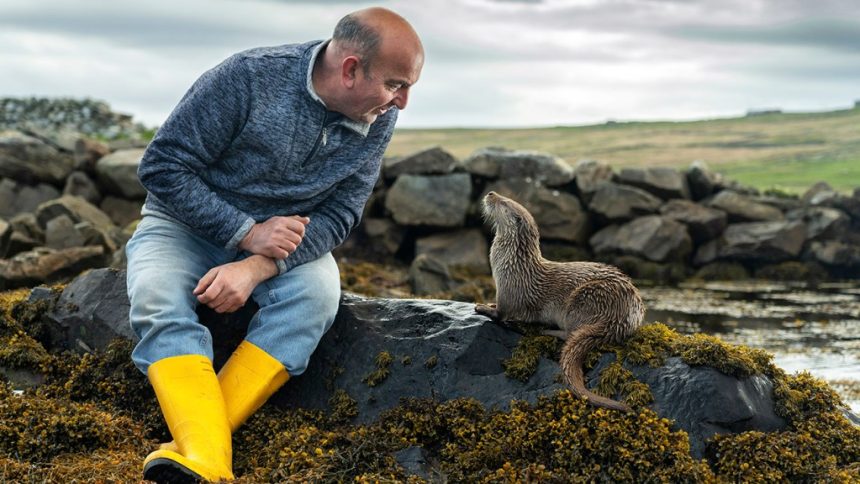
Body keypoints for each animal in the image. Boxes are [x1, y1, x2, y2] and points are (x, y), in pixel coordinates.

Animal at [478, 191, 644, 410]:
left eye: (504, 202)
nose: (491, 193)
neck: (513, 263)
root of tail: (621, 318)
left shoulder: (509, 290)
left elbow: (501, 313)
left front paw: (483, 307)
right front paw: (488, 303)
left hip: (583, 300)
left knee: (570, 333)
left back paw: (548, 331)